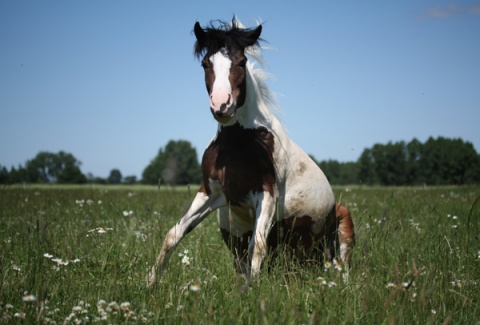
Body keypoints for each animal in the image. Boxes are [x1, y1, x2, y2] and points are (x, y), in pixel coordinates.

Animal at [148, 19, 354, 284]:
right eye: (206, 63)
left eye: (241, 61)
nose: (222, 105)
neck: (238, 143)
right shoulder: (211, 193)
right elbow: (174, 235)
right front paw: (150, 282)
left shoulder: (266, 195)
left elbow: (258, 247)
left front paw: (251, 291)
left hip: (341, 226)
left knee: (342, 266)